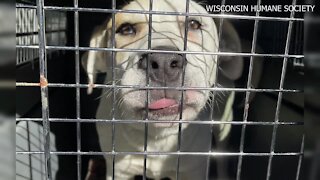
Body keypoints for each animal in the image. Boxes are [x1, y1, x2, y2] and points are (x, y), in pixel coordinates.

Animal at [82, 0, 242, 180]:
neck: (157, 137)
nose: (163, 61)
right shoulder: (117, 169)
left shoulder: (193, 170)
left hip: (223, 125)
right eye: (126, 29)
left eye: (193, 24)